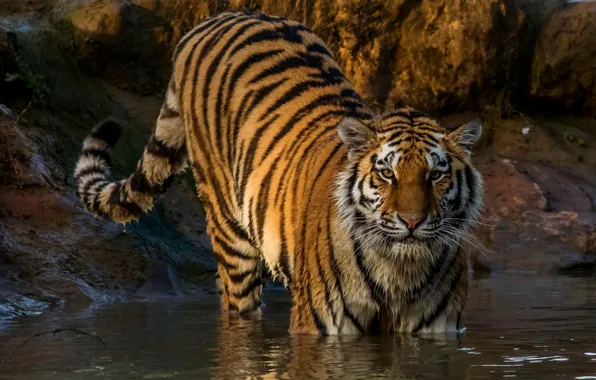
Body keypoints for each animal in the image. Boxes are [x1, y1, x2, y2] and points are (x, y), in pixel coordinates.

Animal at [73, 10, 484, 334]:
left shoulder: (437, 329)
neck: (399, 272)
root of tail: (213, 20)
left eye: (435, 176)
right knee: (236, 301)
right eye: (387, 174)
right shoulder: (318, 326)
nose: (412, 222)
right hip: (229, 229)